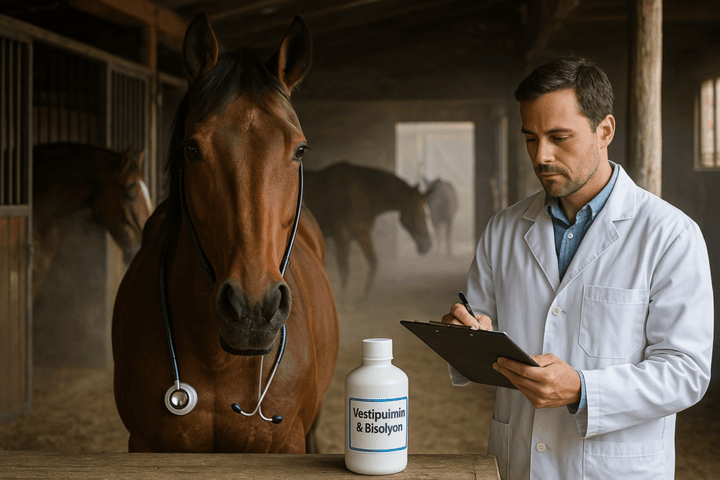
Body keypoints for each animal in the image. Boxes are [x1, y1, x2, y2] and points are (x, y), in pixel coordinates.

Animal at [111, 13, 339, 453]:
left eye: (300, 150)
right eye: (192, 149)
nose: (254, 309)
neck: (220, 358)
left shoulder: (288, 443)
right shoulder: (142, 443)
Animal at [304, 161, 432, 296]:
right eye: (418, 212)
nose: (427, 245)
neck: (363, 194)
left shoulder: (363, 234)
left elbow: (373, 263)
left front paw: (363, 297)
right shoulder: (342, 235)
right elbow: (344, 270)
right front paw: (343, 299)